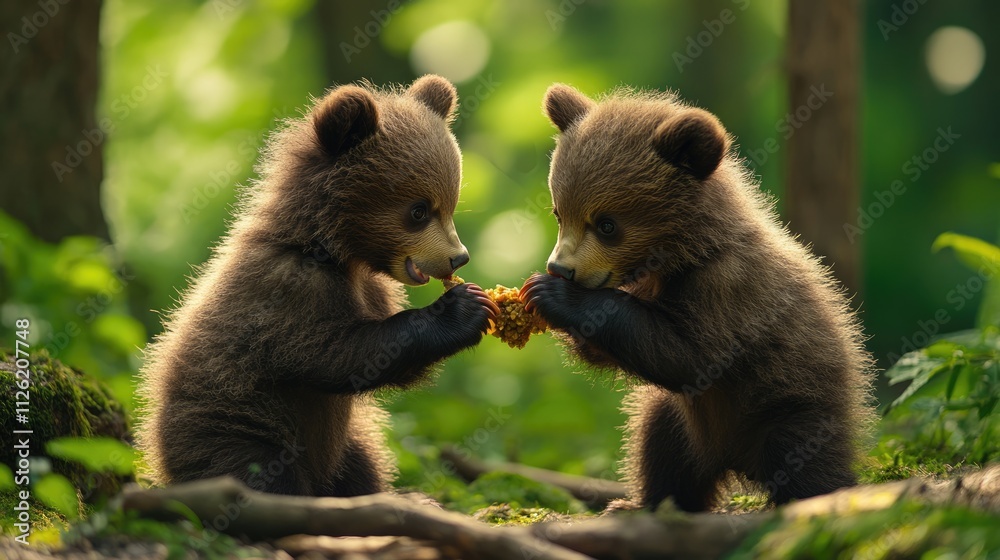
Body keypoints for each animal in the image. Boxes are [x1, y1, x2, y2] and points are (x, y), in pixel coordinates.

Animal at [136, 75, 499, 497]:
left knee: (362, 462)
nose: (459, 258)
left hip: (343, 442)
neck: (330, 250)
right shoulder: (284, 292)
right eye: (419, 210)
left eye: (451, 204)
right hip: (230, 424)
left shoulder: (372, 289)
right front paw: (463, 309)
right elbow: (338, 353)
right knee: (258, 471)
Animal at [521, 84, 876, 512]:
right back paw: (643, 502)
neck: (684, 256)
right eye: (559, 212)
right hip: (684, 421)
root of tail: (734, 461)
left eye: (607, 224)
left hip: (791, 402)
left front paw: (554, 296)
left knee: (802, 457)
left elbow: (688, 355)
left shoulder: (730, 292)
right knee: (660, 445)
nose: (561, 268)